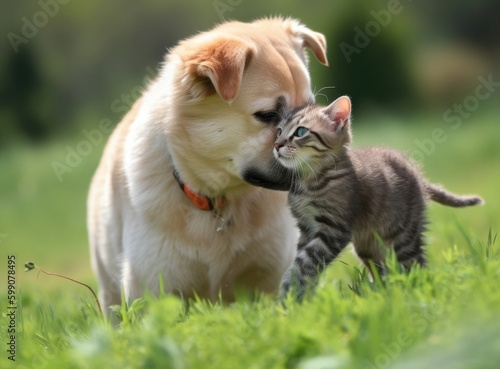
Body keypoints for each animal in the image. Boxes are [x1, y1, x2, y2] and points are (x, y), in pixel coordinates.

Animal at [274, 96, 484, 300]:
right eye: (279, 131)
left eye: (301, 131)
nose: (276, 145)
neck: (309, 180)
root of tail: (419, 177)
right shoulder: (307, 228)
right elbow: (307, 264)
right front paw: (302, 297)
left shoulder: (333, 229)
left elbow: (306, 261)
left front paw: (289, 291)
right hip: (369, 245)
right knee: (383, 270)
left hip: (403, 236)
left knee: (416, 265)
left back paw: (419, 293)